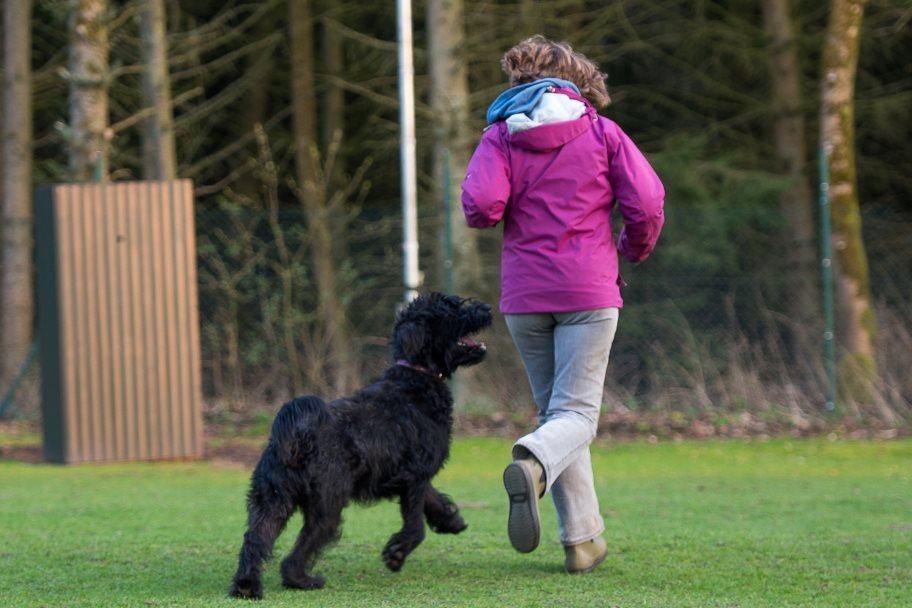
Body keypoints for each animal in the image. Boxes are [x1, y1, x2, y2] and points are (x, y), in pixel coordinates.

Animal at [232, 294, 496, 600]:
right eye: (453, 308)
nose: (487, 308)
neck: (416, 376)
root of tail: (298, 434)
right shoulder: (415, 476)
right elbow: (416, 525)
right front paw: (397, 552)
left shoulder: (411, 476)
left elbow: (432, 498)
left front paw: (449, 521)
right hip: (327, 505)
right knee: (299, 549)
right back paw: (301, 580)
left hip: (272, 499)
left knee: (255, 539)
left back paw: (246, 586)